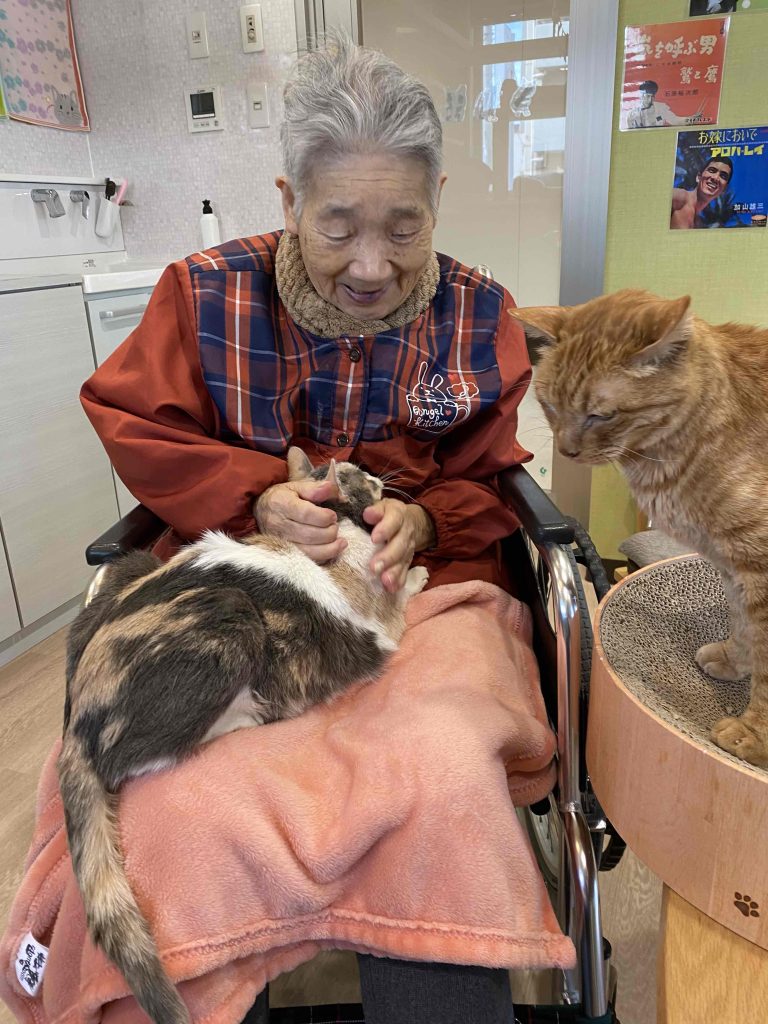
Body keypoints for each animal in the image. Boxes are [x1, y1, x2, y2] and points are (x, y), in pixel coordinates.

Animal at [58, 448, 428, 1024]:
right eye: (356, 476)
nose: (376, 473)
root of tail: (75, 719)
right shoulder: (383, 619)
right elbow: (402, 591)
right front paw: (418, 571)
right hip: (229, 622)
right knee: (134, 758)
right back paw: (245, 718)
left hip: (132, 564)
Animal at [510, 289, 768, 771]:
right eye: (550, 405)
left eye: (601, 415)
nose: (565, 451)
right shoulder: (733, 562)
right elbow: (745, 627)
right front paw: (734, 658)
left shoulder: (757, 564)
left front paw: (755, 736)